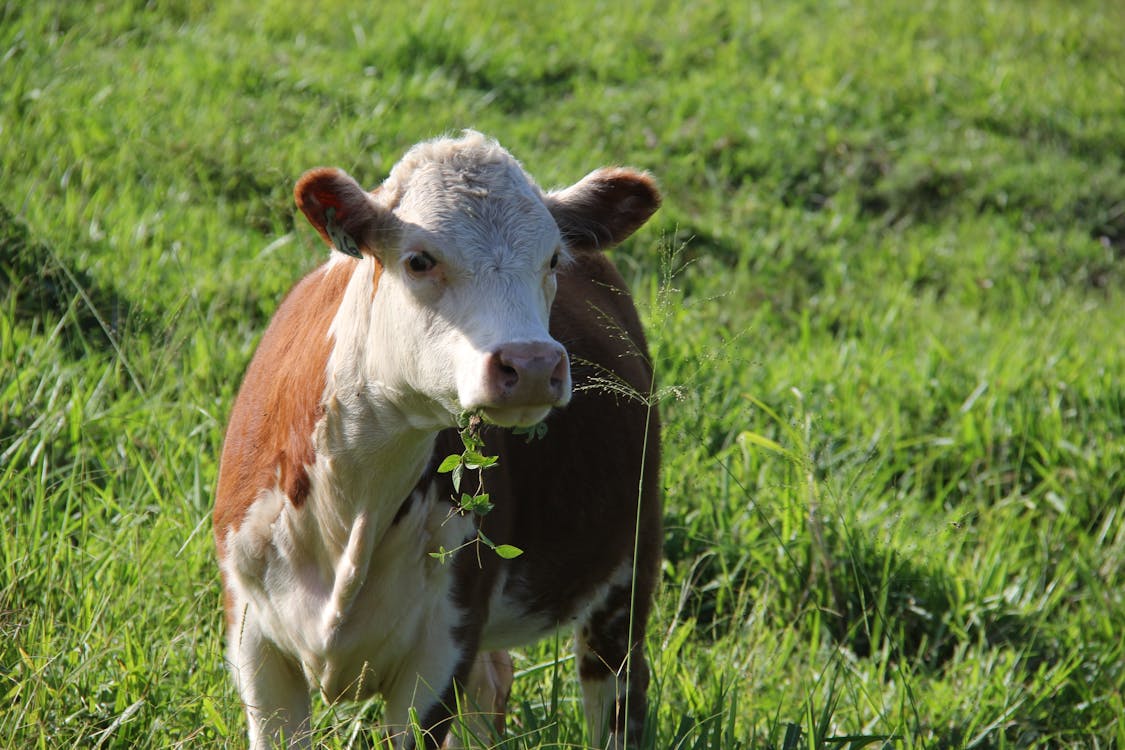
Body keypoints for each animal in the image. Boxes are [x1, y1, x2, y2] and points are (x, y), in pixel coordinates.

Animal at [211, 132, 657, 746]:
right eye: (420, 259)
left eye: (552, 260)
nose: (532, 364)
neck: (351, 494)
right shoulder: (253, 638)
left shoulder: (444, 646)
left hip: (629, 567)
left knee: (615, 692)